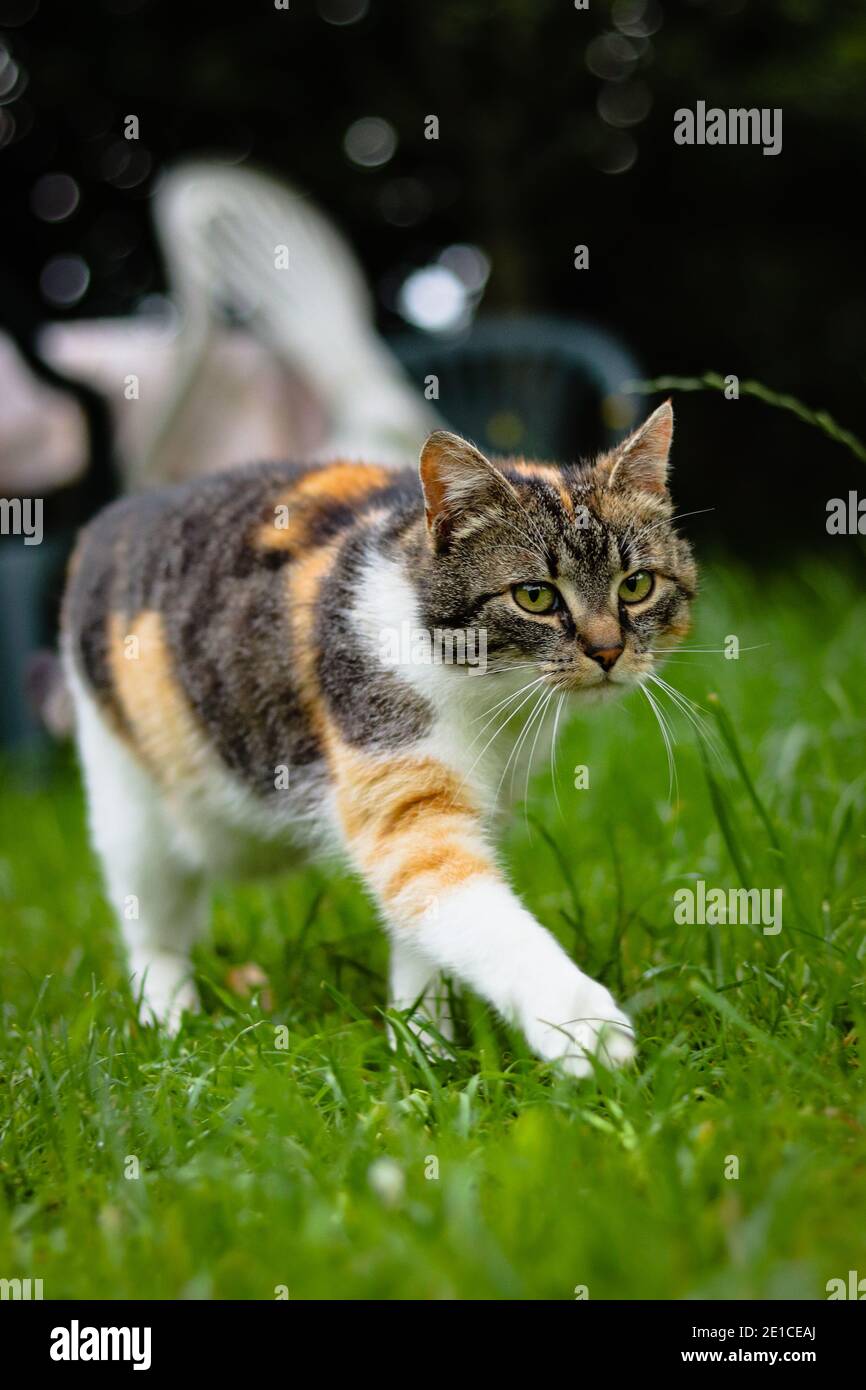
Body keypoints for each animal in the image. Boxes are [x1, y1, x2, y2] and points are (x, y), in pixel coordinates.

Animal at [61, 403, 697, 1073]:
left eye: (636, 585)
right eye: (535, 596)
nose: (608, 651)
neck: (487, 696)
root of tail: (123, 510)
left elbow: (425, 927)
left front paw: (423, 1048)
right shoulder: (399, 779)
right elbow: (480, 914)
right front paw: (581, 1024)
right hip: (128, 795)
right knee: (151, 921)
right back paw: (168, 1019)